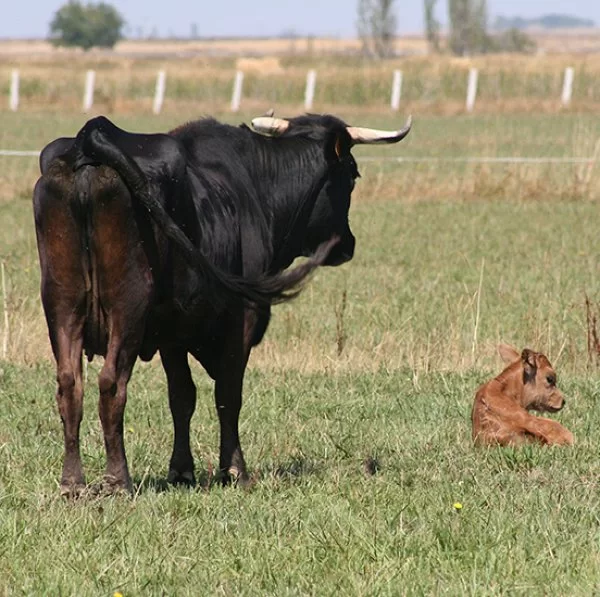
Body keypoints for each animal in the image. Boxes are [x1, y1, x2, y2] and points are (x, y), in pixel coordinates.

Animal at [34, 112, 412, 494]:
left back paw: (72, 482)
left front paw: (182, 471)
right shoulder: (241, 319)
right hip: (127, 309)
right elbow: (228, 394)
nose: (347, 244)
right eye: (352, 174)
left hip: (61, 303)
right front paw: (234, 470)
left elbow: (182, 396)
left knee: (69, 385)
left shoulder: (173, 333)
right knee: (111, 385)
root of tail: (89, 139)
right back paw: (117, 480)